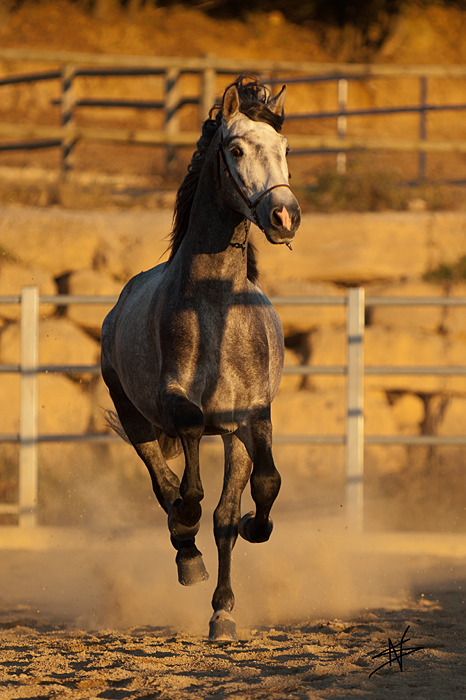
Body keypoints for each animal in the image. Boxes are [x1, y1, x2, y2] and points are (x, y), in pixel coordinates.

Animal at [100, 75, 300, 640]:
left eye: (285, 149)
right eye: (235, 149)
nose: (284, 216)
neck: (214, 309)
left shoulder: (251, 416)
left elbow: (262, 487)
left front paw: (257, 528)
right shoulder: (175, 404)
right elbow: (187, 474)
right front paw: (186, 532)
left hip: (230, 436)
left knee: (223, 515)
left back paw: (222, 609)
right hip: (130, 412)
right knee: (161, 478)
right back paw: (186, 552)